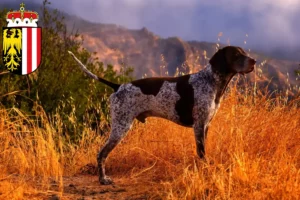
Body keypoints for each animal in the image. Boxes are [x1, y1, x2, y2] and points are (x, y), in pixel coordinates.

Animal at [68, 45, 255, 184]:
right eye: (236, 54)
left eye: (244, 53)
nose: (254, 61)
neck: (211, 81)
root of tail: (118, 86)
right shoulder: (199, 125)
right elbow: (201, 153)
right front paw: (204, 171)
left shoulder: (205, 125)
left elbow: (203, 152)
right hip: (120, 127)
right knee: (101, 154)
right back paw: (103, 179)